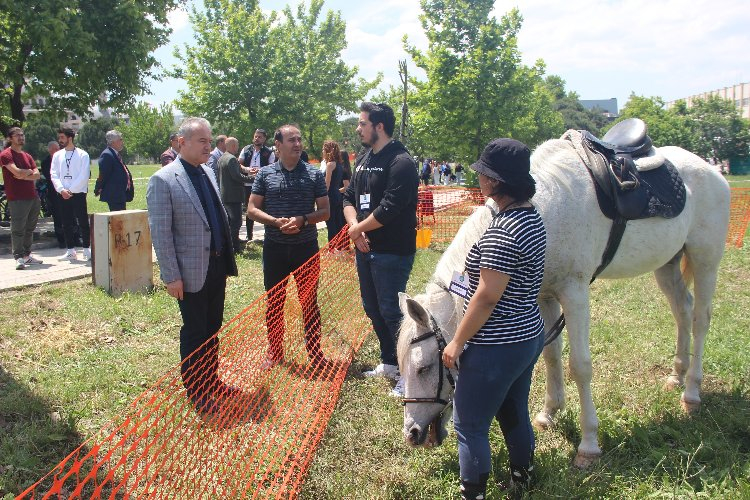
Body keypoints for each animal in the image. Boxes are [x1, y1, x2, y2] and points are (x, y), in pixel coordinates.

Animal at [396, 136, 732, 464]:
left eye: (424, 368)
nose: (412, 433)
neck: (544, 211)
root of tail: (712, 170)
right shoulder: (545, 295)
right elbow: (551, 355)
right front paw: (549, 414)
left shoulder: (575, 293)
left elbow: (579, 366)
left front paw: (589, 443)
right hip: (667, 265)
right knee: (682, 310)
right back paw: (677, 376)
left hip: (705, 260)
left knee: (700, 319)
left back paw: (691, 392)